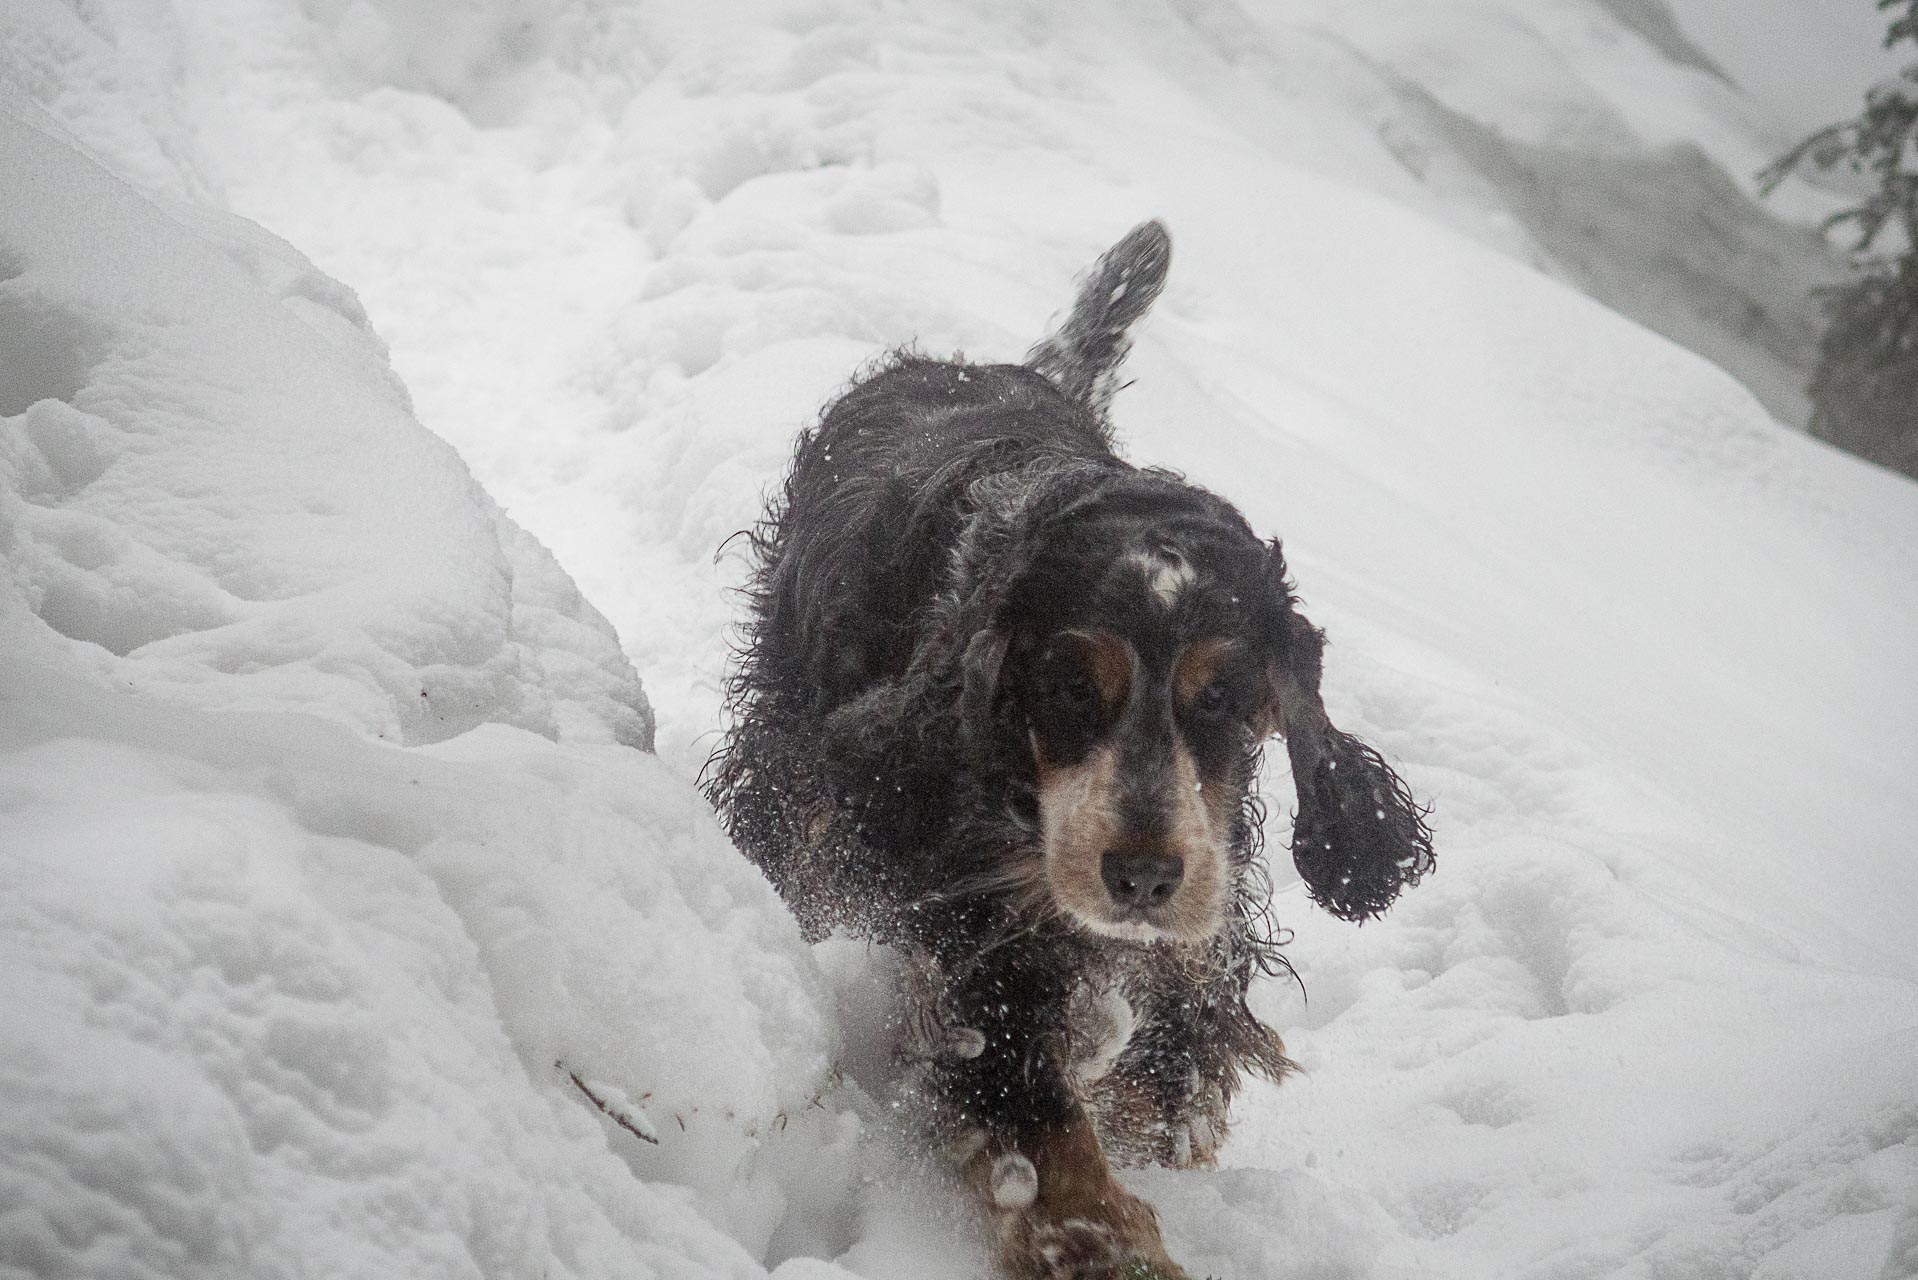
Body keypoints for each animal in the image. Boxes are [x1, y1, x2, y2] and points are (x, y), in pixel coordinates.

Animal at [713, 222, 1434, 1280]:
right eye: (1067, 686)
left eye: (1223, 696)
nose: (1141, 877)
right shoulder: (973, 929)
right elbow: (1034, 1121)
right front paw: (1104, 1245)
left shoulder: (1201, 912)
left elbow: (1176, 1058)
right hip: (791, 754)